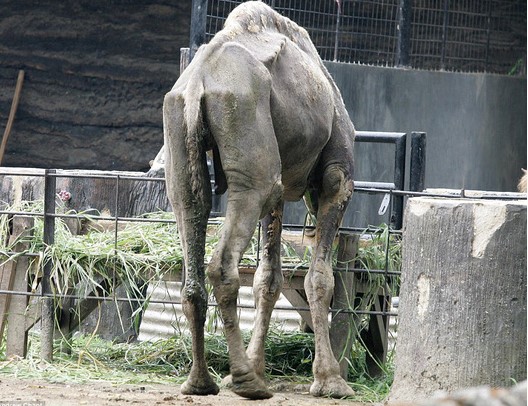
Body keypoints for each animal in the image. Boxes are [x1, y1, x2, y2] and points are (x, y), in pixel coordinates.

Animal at [163, 0, 356, 400]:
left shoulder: (280, 192)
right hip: (249, 139)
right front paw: (330, 381)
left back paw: (201, 381)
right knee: (222, 264)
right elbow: (319, 278)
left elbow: (268, 279)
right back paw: (245, 382)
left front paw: (260, 366)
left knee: (191, 218)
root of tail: (197, 84)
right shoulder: (336, 180)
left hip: (182, 141)